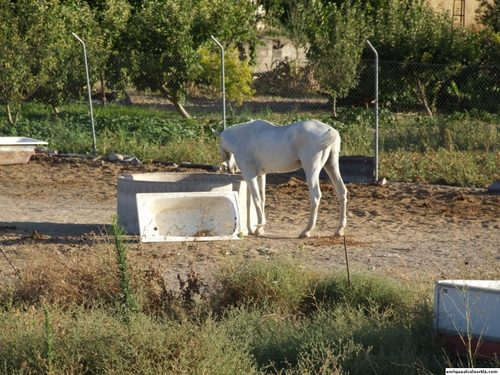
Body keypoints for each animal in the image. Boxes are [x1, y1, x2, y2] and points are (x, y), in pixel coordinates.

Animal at [212, 119, 348, 239]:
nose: (231, 169)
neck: (242, 137)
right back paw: (339, 230)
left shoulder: (249, 175)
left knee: (315, 196)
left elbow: (256, 199)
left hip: (312, 170)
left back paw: (306, 231)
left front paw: (258, 229)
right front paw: (262, 226)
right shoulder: (261, 175)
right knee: (341, 192)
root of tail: (331, 131)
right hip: (331, 165)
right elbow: (262, 199)